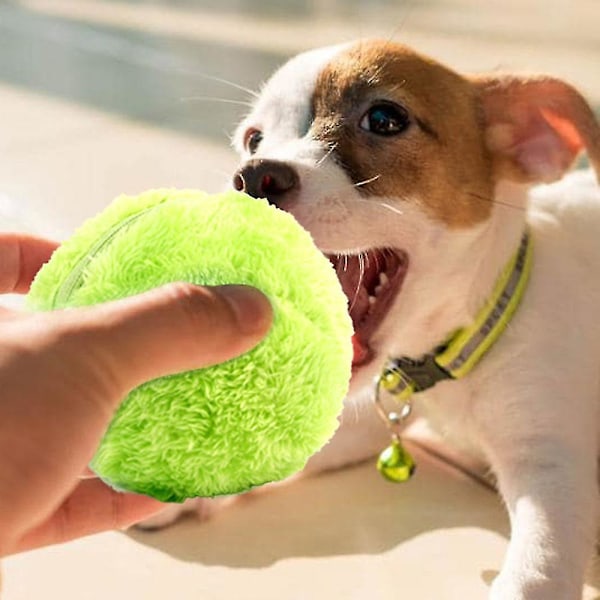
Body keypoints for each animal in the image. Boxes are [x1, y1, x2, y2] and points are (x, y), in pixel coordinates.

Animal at [146, 39, 600, 596]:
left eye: (384, 119)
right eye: (253, 140)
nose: (252, 177)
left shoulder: (551, 466)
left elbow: (537, 565)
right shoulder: (365, 418)